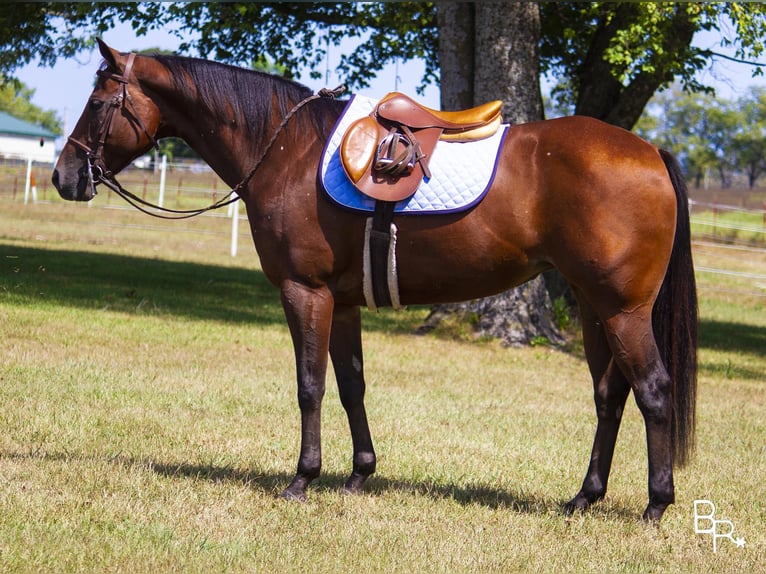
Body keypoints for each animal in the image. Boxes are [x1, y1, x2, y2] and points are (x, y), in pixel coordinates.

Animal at [51, 40, 700, 524]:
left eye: (99, 100)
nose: (64, 176)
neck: (286, 148)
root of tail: (649, 151)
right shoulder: (342, 303)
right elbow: (351, 385)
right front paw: (360, 473)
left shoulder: (304, 291)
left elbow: (309, 385)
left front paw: (302, 478)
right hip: (594, 308)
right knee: (610, 396)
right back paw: (584, 497)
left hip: (623, 311)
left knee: (653, 391)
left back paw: (655, 506)